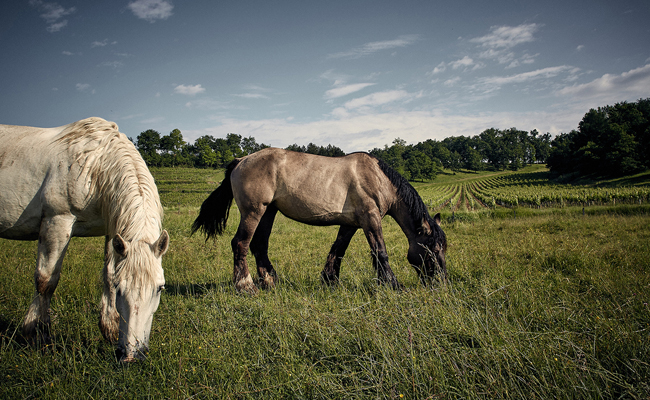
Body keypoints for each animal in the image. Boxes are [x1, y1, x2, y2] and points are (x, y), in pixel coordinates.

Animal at [0, 116, 170, 362]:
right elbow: (46, 281)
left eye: (159, 288)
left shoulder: (111, 228)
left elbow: (108, 274)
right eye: (121, 289)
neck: (95, 164)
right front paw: (37, 336)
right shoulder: (56, 221)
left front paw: (110, 330)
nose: (132, 356)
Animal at [191, 148, 446, 292]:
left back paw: (270, 282)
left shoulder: (351, 224)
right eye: (434, 249)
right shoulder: (370, 219)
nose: (442, 282)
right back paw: (245, 285)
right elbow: (380, 252)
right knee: (241, 244)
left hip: (268, 212)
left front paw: (330, 281)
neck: (377, 178)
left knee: (259, 246)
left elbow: (337, 250)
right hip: (253, 211)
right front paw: (393, 284)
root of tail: (241, 159)